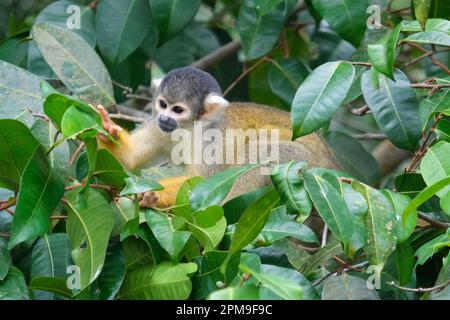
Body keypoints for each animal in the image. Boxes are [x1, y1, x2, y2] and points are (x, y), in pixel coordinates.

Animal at [97, 66, 338, 209]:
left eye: (178, 110)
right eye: (163, 104)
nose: (165, 118)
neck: (192, 128)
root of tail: (332, 164)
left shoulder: (213, 138)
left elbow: (205, 183)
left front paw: (152, 195)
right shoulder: (161, 128)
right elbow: (130, 159)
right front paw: (108, 131)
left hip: (305, 162)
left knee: (260, 152)